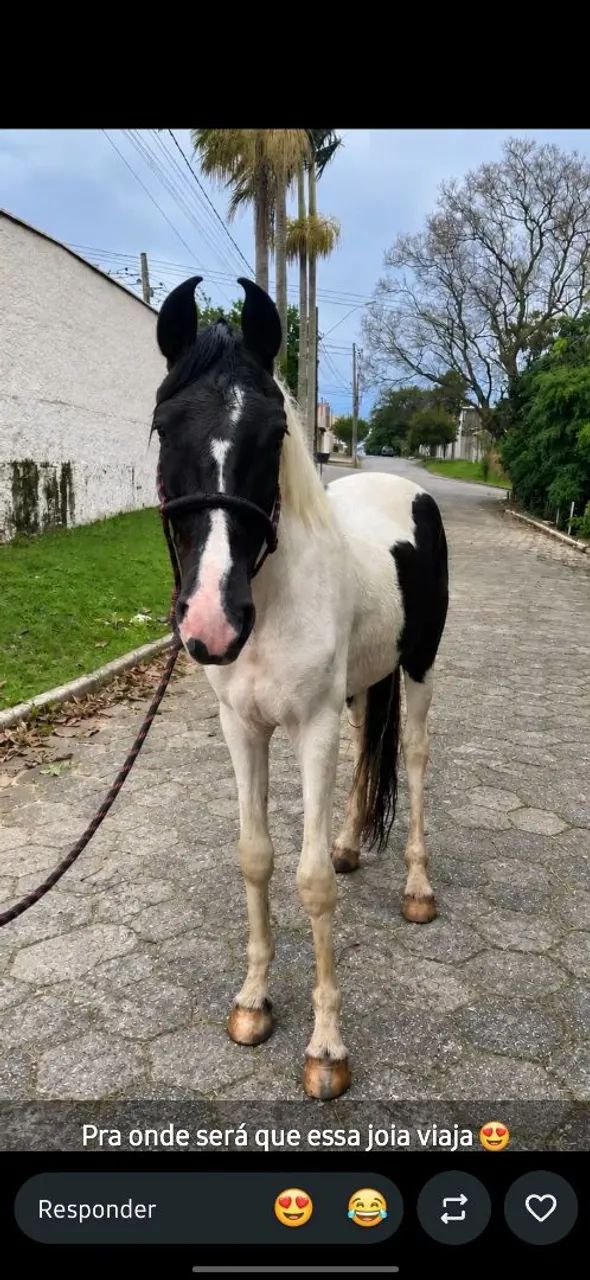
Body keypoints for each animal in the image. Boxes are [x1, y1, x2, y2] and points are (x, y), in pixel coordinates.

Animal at [153, 276, 449, 1100]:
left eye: (271, 432)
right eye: (163, 426)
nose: (211, 621)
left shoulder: (310, 726)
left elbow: (312, 882)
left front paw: (326, 1048)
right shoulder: (243, 726)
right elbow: (256, 856)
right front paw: (253, 1002)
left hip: (418, 671)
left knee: (414, 762)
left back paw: (417, 889)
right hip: (364, 685)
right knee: (368, 755)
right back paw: (352, 843)